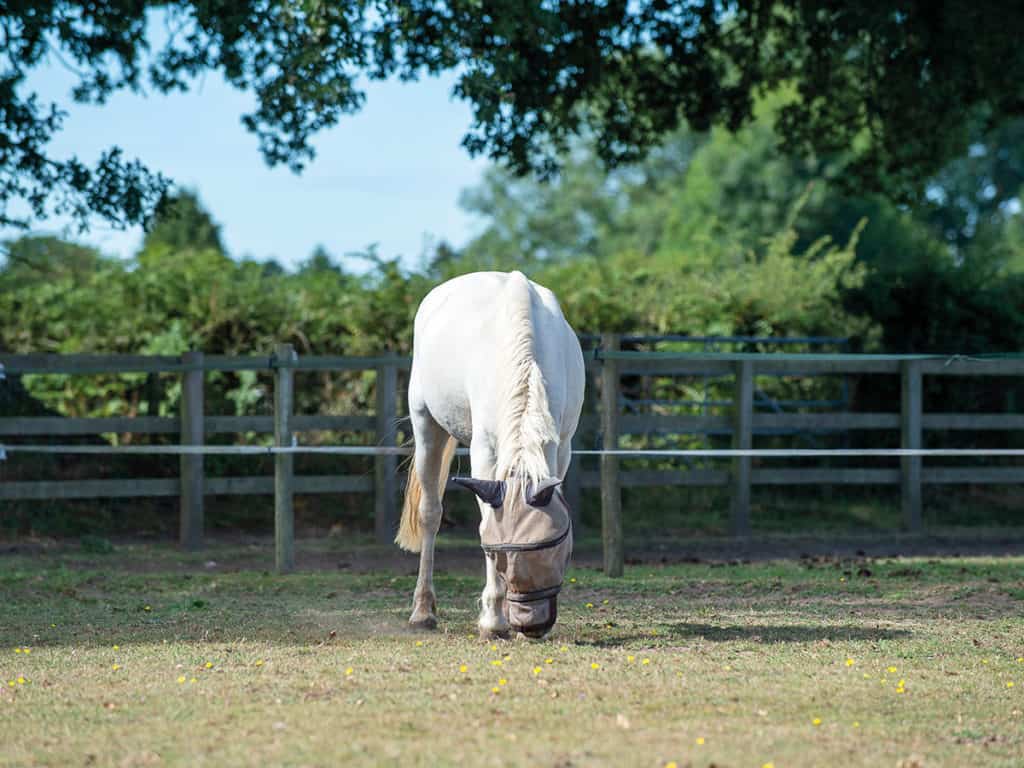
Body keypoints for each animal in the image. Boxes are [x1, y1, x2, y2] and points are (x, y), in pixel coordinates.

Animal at [395, 270, 585, 638]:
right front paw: (493, 620)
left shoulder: (562, 444)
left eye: (552, 550)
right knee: (430, 513)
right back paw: (422, 611)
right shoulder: (484, 451)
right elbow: (484, 519)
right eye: (497, 555)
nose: (532, 625)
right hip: (426, 425)